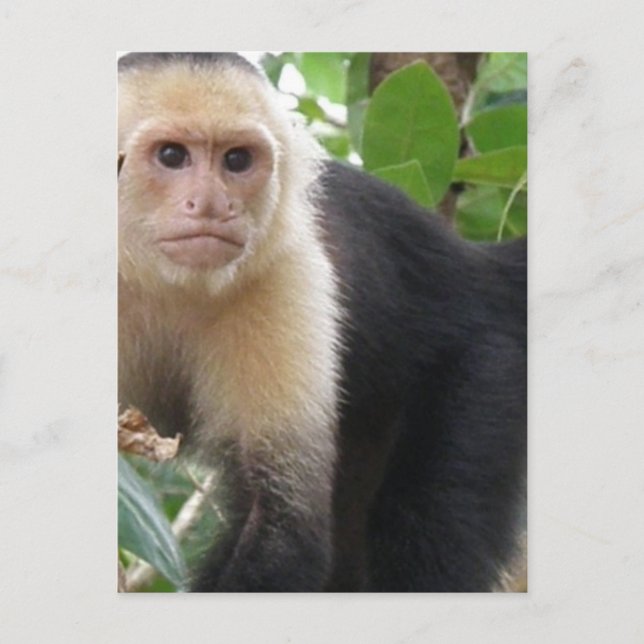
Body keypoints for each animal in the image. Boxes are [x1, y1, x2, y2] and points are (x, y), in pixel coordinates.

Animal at [118, 52, 527, 592]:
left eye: (236, 160)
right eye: (171, 155)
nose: (212, 205)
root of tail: (482, 269)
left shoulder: (288, 275)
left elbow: (282, 525)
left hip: (487, 365)